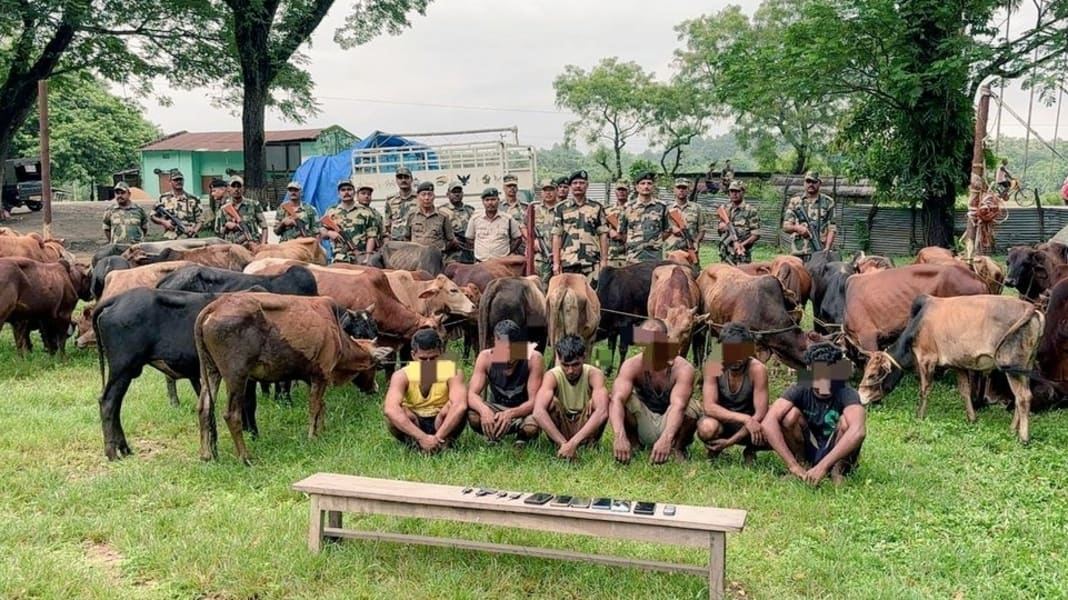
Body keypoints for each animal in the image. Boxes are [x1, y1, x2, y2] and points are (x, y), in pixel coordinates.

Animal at [194, 290, 390, 463]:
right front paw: (312, 437)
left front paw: (322, 430)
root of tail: (213, 307)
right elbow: (314, 407)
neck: (337, 335)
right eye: (375, 366)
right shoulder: (321, 375)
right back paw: (245, 457)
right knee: (231, 415)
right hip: (236, 376)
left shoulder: (313, 378)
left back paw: (205, 455)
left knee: (204, 408)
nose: (375, 388)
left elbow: (321, 405)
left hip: (211, 371)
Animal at [858, 292, 1042, 441]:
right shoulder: (958, 365)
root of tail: (1030, 308)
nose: (860, 396)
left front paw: (919, 415)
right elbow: (965, 391)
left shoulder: (927, 359)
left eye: (873, 375)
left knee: (1023, 397)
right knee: (1021, 396)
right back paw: (1013, 429)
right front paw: (972, 418)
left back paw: (1023, 437)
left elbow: (924, 390)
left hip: (1011, 366)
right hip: (1026, 366)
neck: (917, 326)